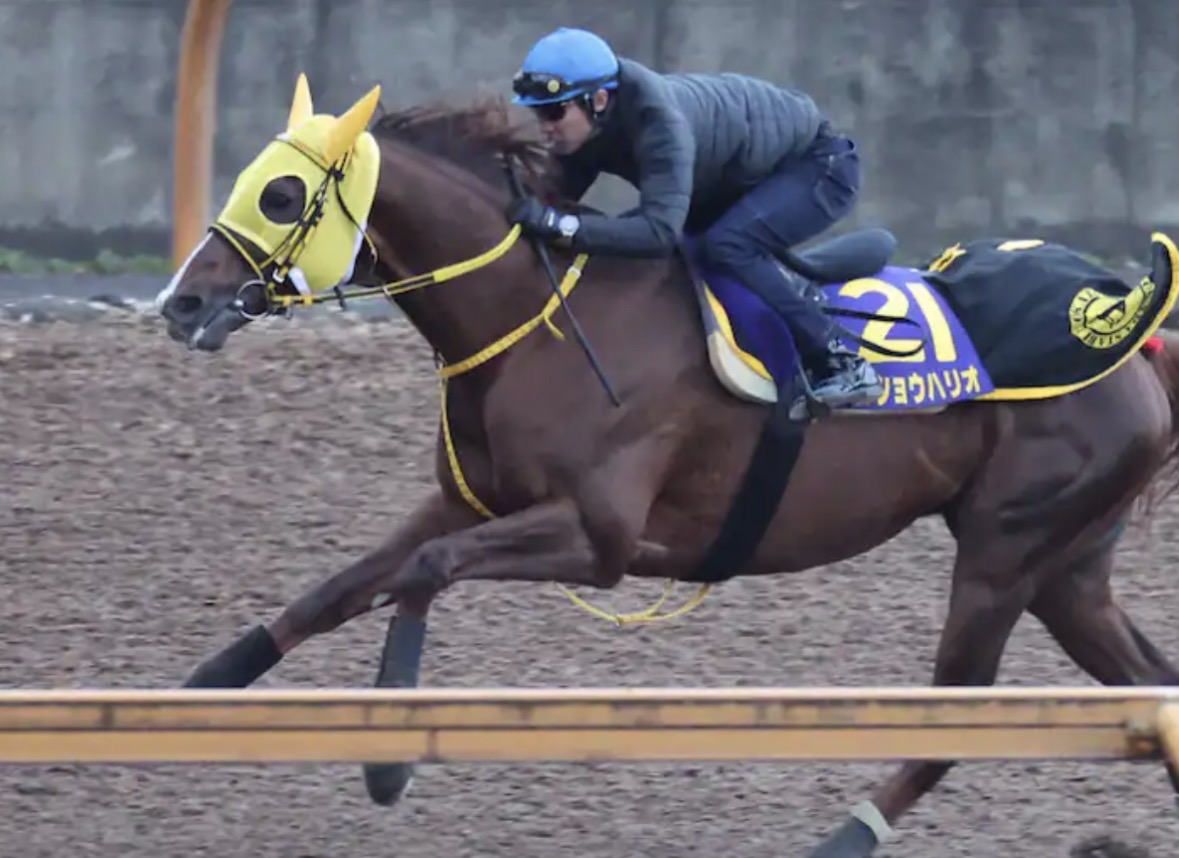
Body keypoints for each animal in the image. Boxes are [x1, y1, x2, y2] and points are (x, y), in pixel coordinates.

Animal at [155, 74, 1179, 858]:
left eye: (282, 196)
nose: (181, 302)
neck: (539, 319)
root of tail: (1127, 336)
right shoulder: (466, 501)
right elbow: (335, 589)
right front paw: (198, 692)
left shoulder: (598, 537)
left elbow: (420, 573)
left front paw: (388, 759)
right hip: (1066, 569)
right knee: (1147, 680)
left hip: (1005, 553)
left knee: (947, 727)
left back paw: (843, 836)